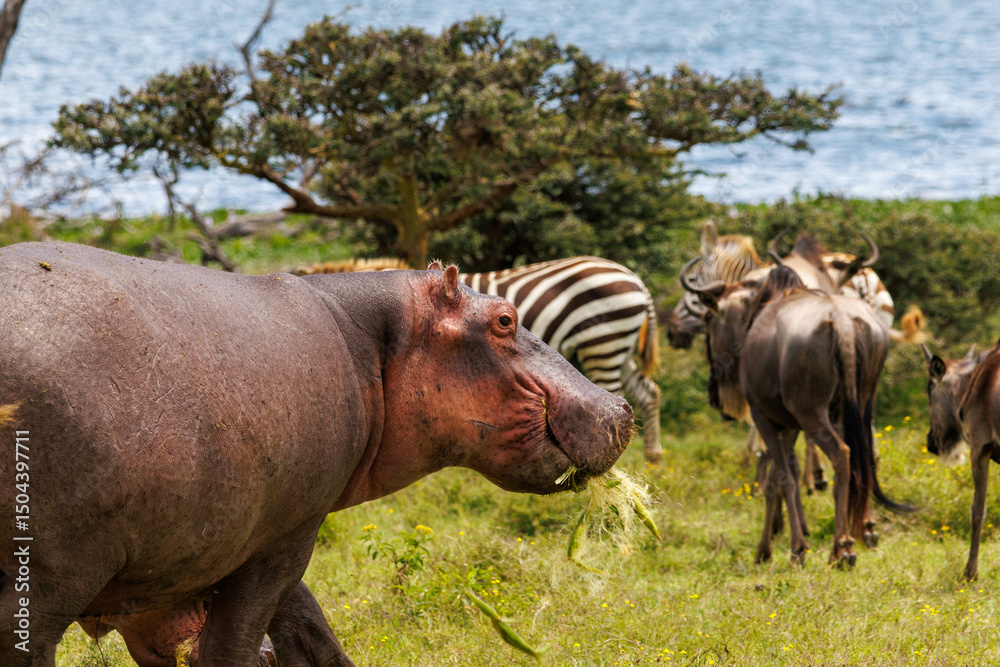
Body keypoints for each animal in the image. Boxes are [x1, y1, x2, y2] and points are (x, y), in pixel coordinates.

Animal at [0, 242, 633, 666]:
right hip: (45, 583)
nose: (620, 407)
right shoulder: (287, 536)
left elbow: (310, 628)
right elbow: (239, 644)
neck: (375, 343)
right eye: (505, 320)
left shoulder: (222, 553)